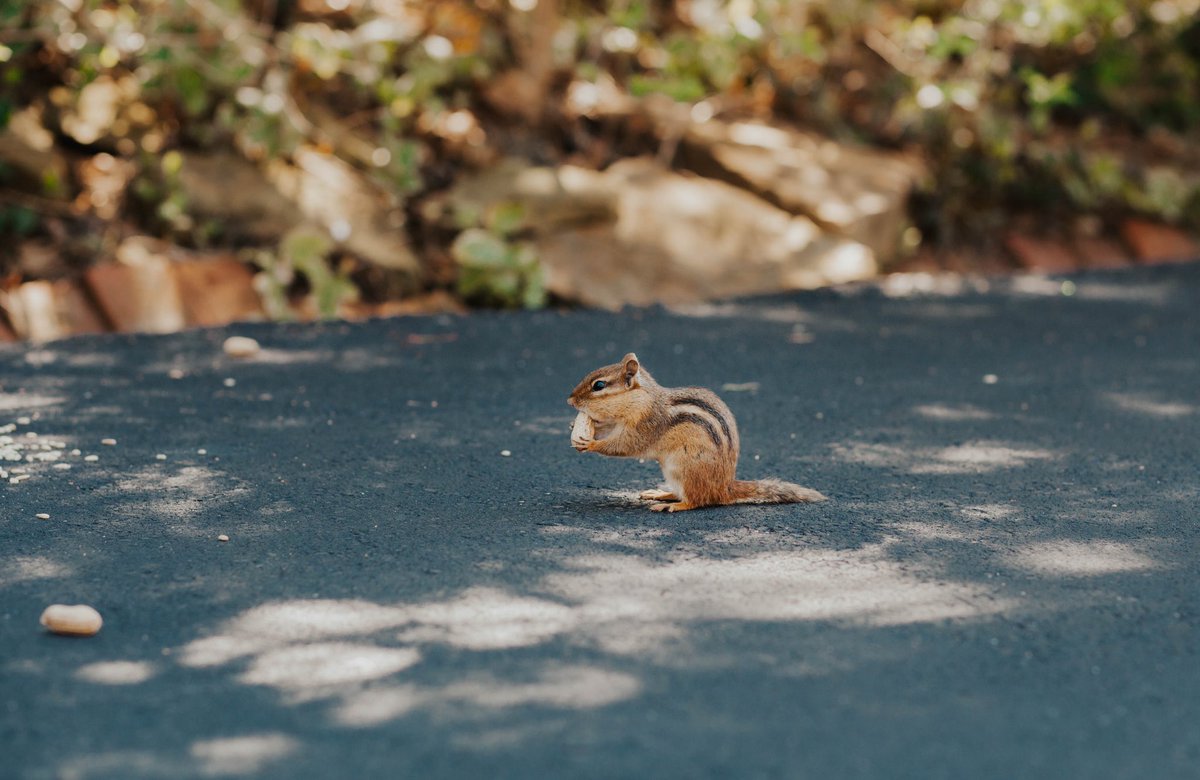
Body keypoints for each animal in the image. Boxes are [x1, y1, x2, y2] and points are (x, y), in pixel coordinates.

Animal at [568, 352, 826, 512]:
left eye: (599, 386)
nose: (570, 400)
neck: (642, 399)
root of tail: (724, 488)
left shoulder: (646, 425)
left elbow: (625, 445)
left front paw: (590, 444)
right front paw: (575, 426)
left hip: (685, 468)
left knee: (696, 500)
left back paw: (672, 505)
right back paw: (661, 494)